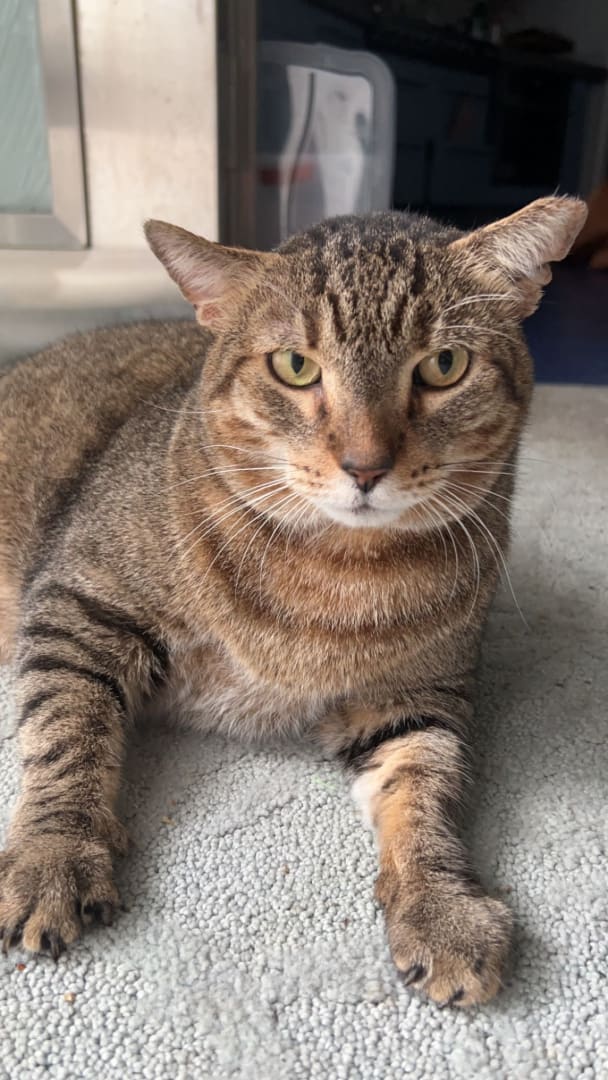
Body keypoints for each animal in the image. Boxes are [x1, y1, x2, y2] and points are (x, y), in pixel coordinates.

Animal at [0, 196, 586, 1007]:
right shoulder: (78, 602)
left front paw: (440, 905)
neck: (338, 573)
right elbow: (66, 736)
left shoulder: (415, 697)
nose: (365, 467)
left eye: (444, 366)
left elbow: (426, 787)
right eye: (295, 366)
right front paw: (54, 855)